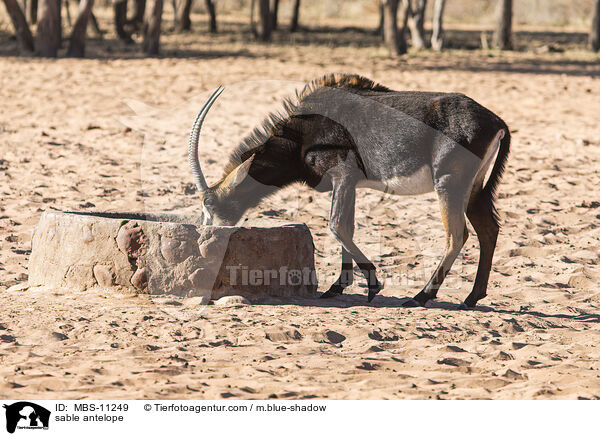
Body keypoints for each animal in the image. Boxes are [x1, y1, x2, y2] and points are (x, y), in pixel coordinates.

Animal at [189, 74, 510, 306]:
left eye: (210, 204)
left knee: (457, 235)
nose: (204, 239)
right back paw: (471, 297)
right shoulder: (350, 182)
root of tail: (497, 121)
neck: (304, 132)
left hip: (448, 183)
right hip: (474, 189)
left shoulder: (342, 175)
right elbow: (347, 227)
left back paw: (421, 296)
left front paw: (372, 284)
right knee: (488, 230)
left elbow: (337, 225)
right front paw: (338, 287)